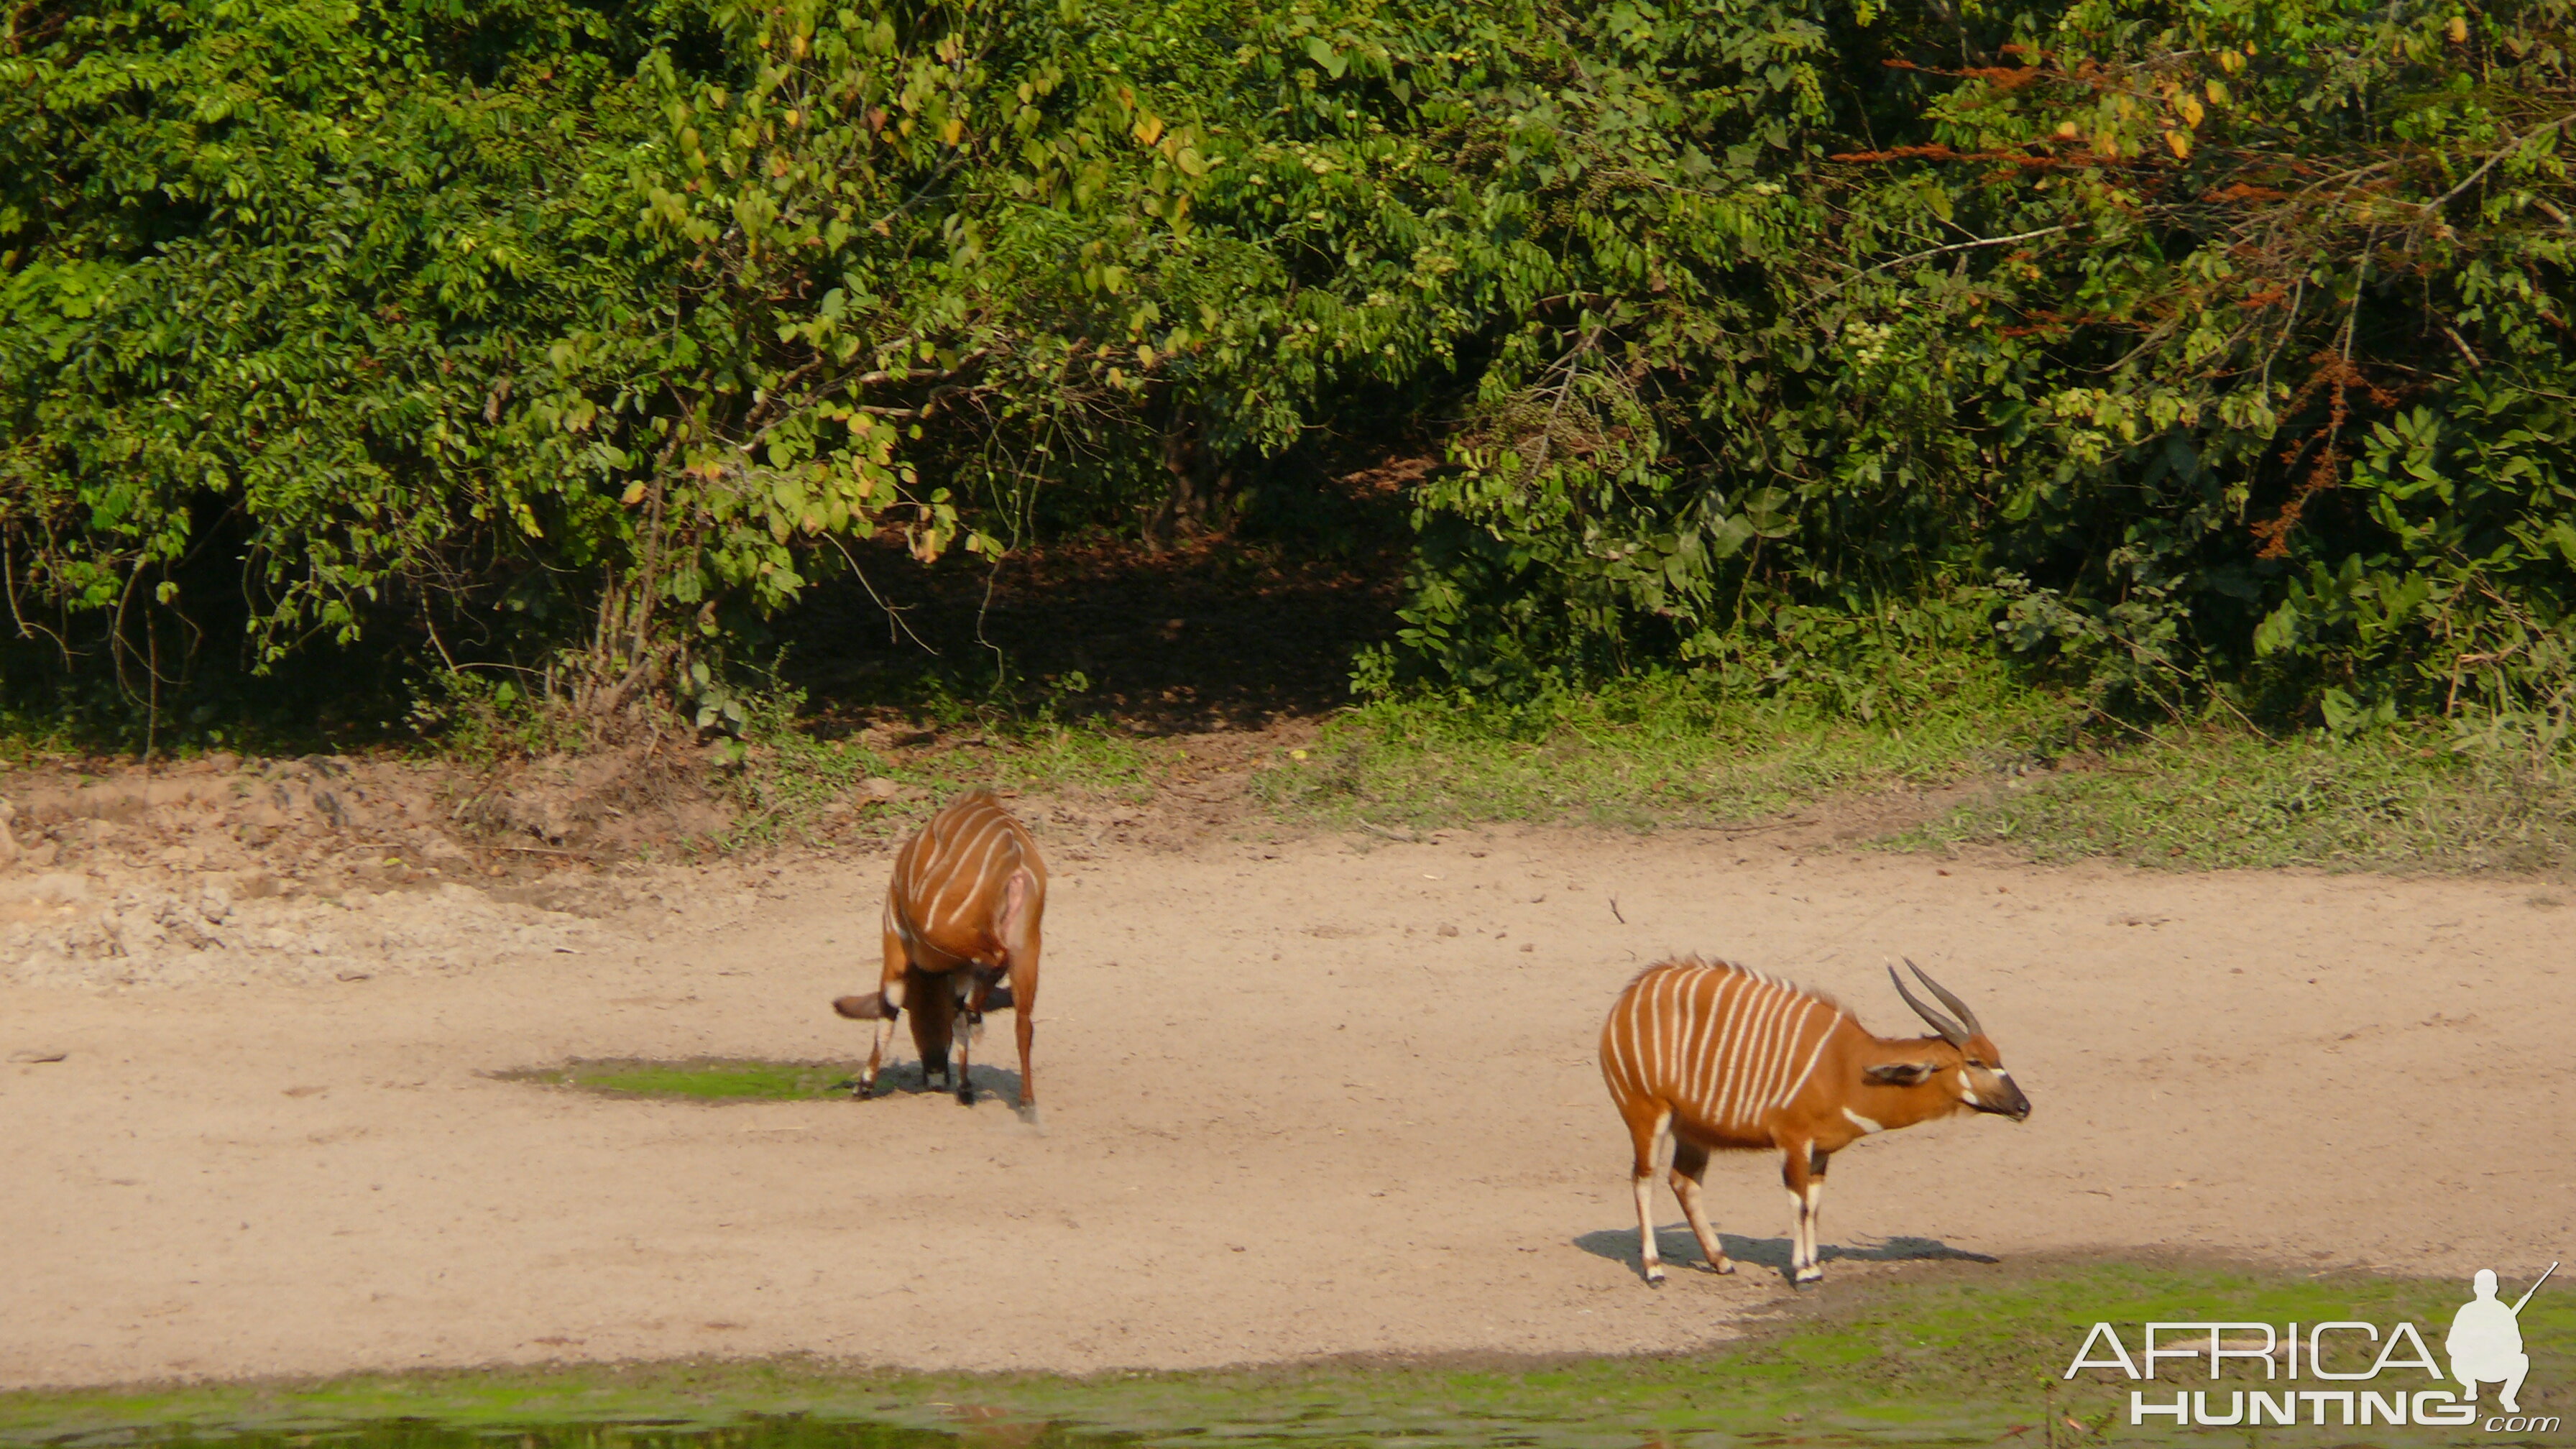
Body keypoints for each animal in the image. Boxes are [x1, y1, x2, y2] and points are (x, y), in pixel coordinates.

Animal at [829, 783, 1040, 1098]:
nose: (936, 1072)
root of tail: (1013, 854)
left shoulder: (895, 943)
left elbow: (889, 1007)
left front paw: (864, 1084)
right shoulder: (961, 971)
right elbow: (957, 1008)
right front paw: (965, 1087)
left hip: (948, 932)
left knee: (997, 962)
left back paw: (977, 1017)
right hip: (1028, 943)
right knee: (1023, 1019)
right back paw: (1027, 1101)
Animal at [1586, 954, 2030, 1279]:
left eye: (1996, 1056)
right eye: (1974, 1061)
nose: (2023, 1107)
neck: (1846, 1067)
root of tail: (1627, 999)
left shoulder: (1821, 1152)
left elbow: (1814, 1204)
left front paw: (1814, 1264)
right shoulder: (1794, 1142)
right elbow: (1798, 1202)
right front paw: (1803, 1270)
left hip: (1694, 1132)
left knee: (1683, 1181)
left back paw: (1721, 1261)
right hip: (1648, 1116)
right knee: (1643, 1180)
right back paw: (1653, 1268)